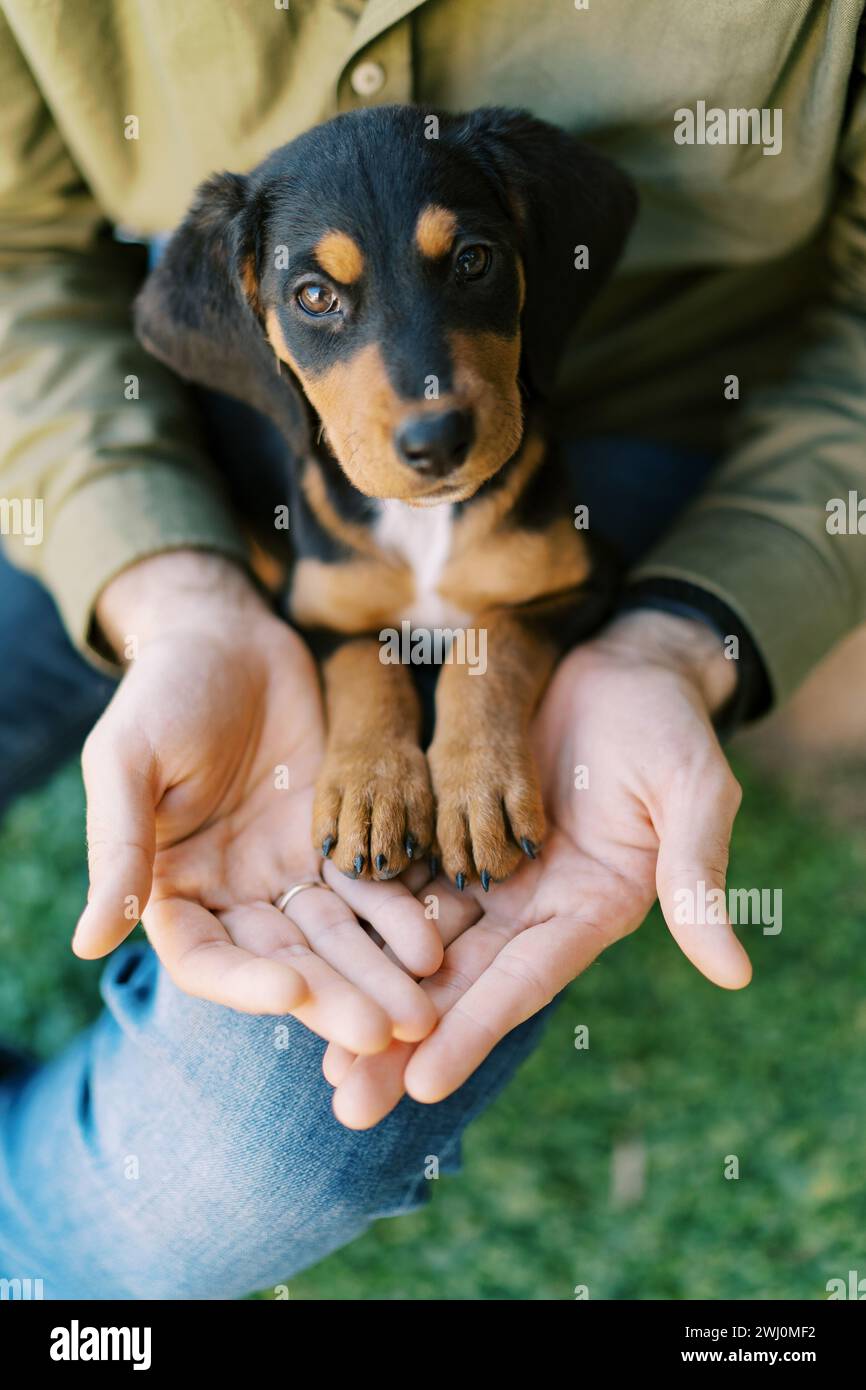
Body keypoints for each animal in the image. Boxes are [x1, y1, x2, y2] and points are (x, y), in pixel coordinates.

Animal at [135, 102, 636, 884]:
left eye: (473, 260)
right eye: (315, 297)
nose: (437, 440)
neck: (421, 524)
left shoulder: (584, 580)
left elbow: (492, 641)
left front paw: (480, 785)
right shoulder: (316, 609)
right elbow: (367, 666)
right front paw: (371, 789)